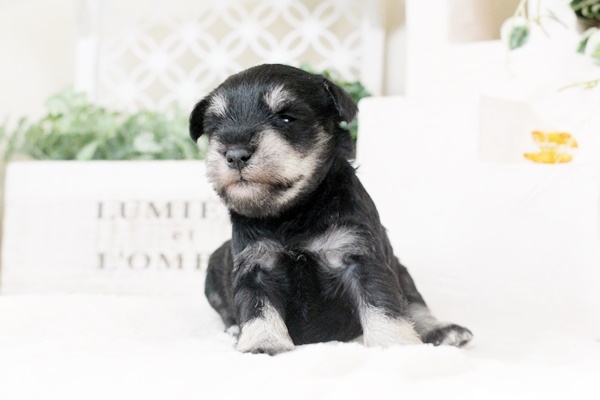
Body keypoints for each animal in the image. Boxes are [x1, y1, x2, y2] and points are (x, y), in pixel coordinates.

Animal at [190, 64, 473, 354]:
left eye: (287, 118)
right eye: (215, 126)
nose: (235, 155)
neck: (294, 213)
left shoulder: (361, 259)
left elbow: (384, 306)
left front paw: (394, 344)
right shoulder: (255, 268)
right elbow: (258, 309)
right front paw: (262, 342)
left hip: (401, 270)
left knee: (413, 302)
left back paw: (442, 329)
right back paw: (235, 329)